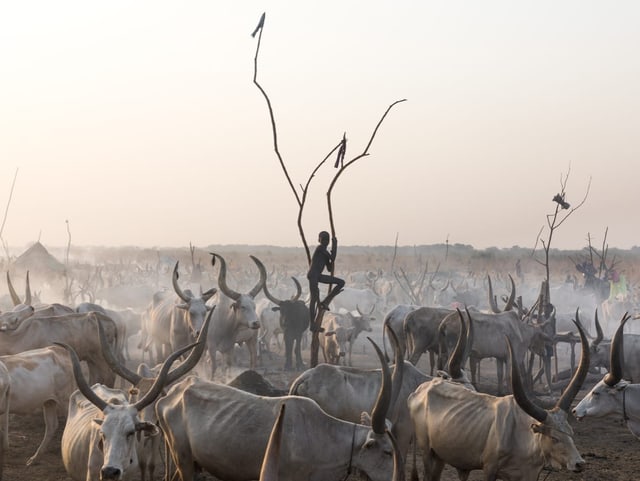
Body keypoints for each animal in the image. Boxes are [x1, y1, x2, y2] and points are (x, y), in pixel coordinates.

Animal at [410, 316, 592, 480]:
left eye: (570, 433)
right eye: (554, 438)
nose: (579, 463)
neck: (523, 437)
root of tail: (423, 388)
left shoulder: (530, 475)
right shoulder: (490, 468)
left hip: (440, 455)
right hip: (426, 451)